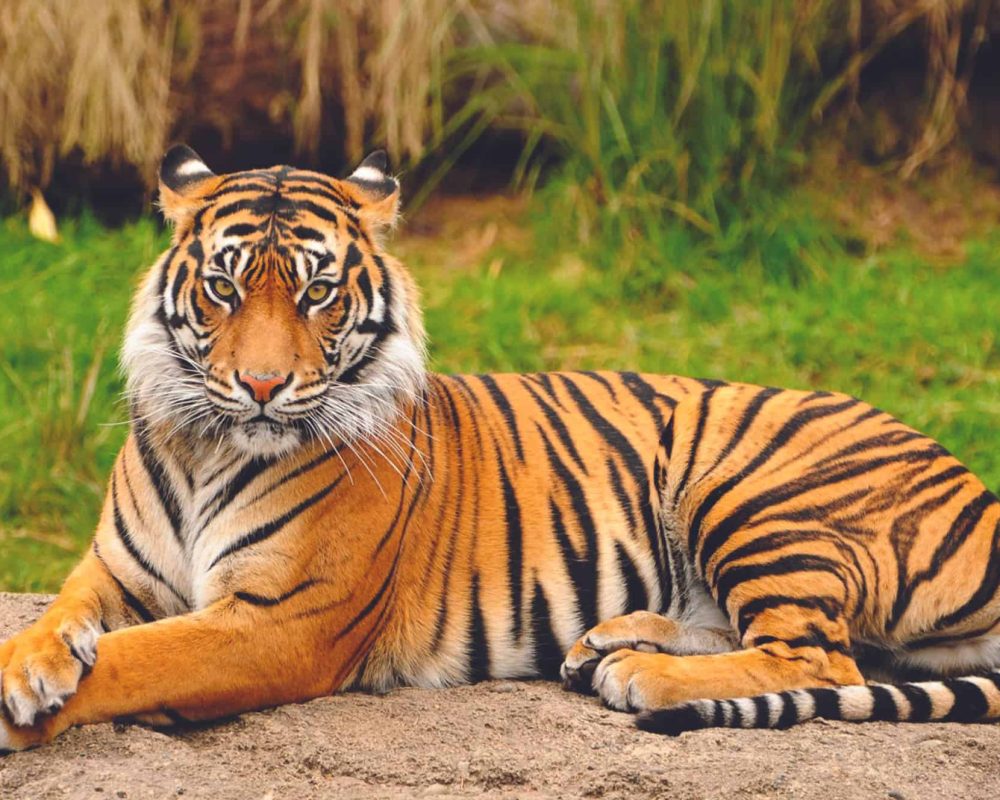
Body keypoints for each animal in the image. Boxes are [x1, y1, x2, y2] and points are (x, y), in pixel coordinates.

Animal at [1, 145, 999, 753]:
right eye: (223, 287)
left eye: (319, 292)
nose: (261, 386)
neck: (208, 446)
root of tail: (980, 489)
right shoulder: (116, 570)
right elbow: (59, 619)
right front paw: (31, 667)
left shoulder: (279, 621)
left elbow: (138, 660)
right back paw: (608, 640)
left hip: (750, 488)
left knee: (820, 656)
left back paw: (638, 672)